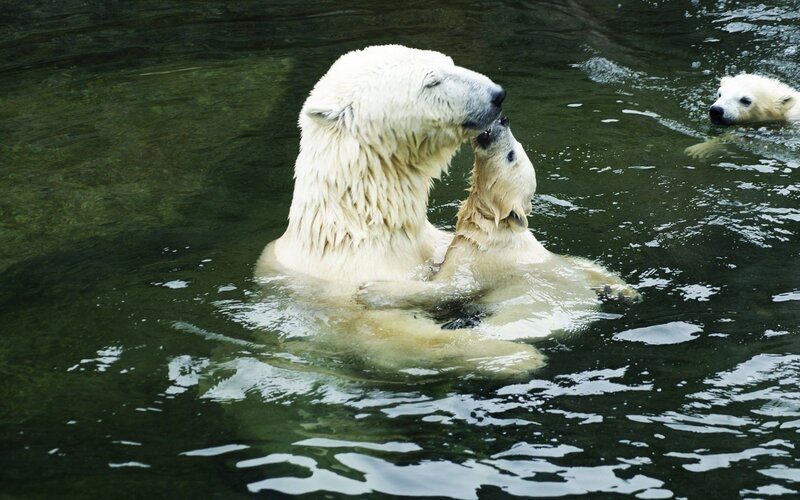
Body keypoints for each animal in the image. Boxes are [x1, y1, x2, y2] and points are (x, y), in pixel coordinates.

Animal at [358, 117, 638, 339]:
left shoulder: (480, 261)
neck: (492, 227)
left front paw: (371, 290)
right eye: (518, 148)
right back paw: (624, 292)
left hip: (527, 313)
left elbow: (448, 287)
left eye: (511, 155)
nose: (503, 120)